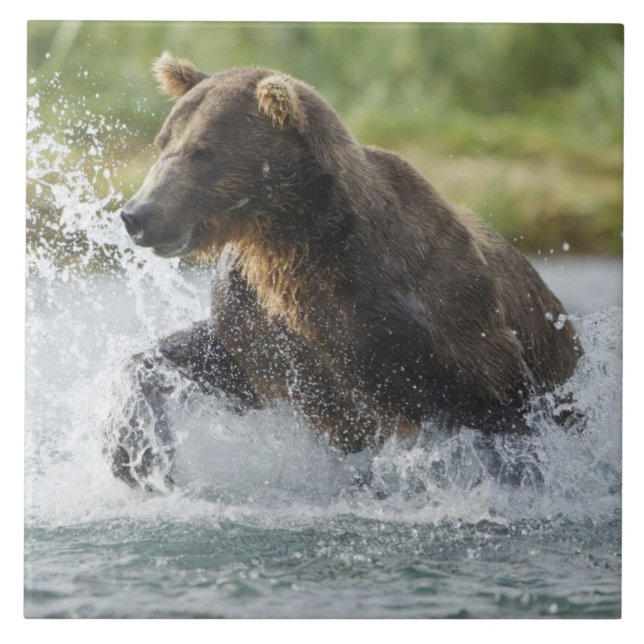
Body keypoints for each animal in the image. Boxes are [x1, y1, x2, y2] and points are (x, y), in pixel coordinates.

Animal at [106, 52, 583, 490]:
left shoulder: (431, 322)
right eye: (163, 141)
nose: (137, 214)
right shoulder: (262, 322)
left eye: (202, 152)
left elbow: (497, 407)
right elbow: (207, 358)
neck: (293, 242)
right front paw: (135, 452)